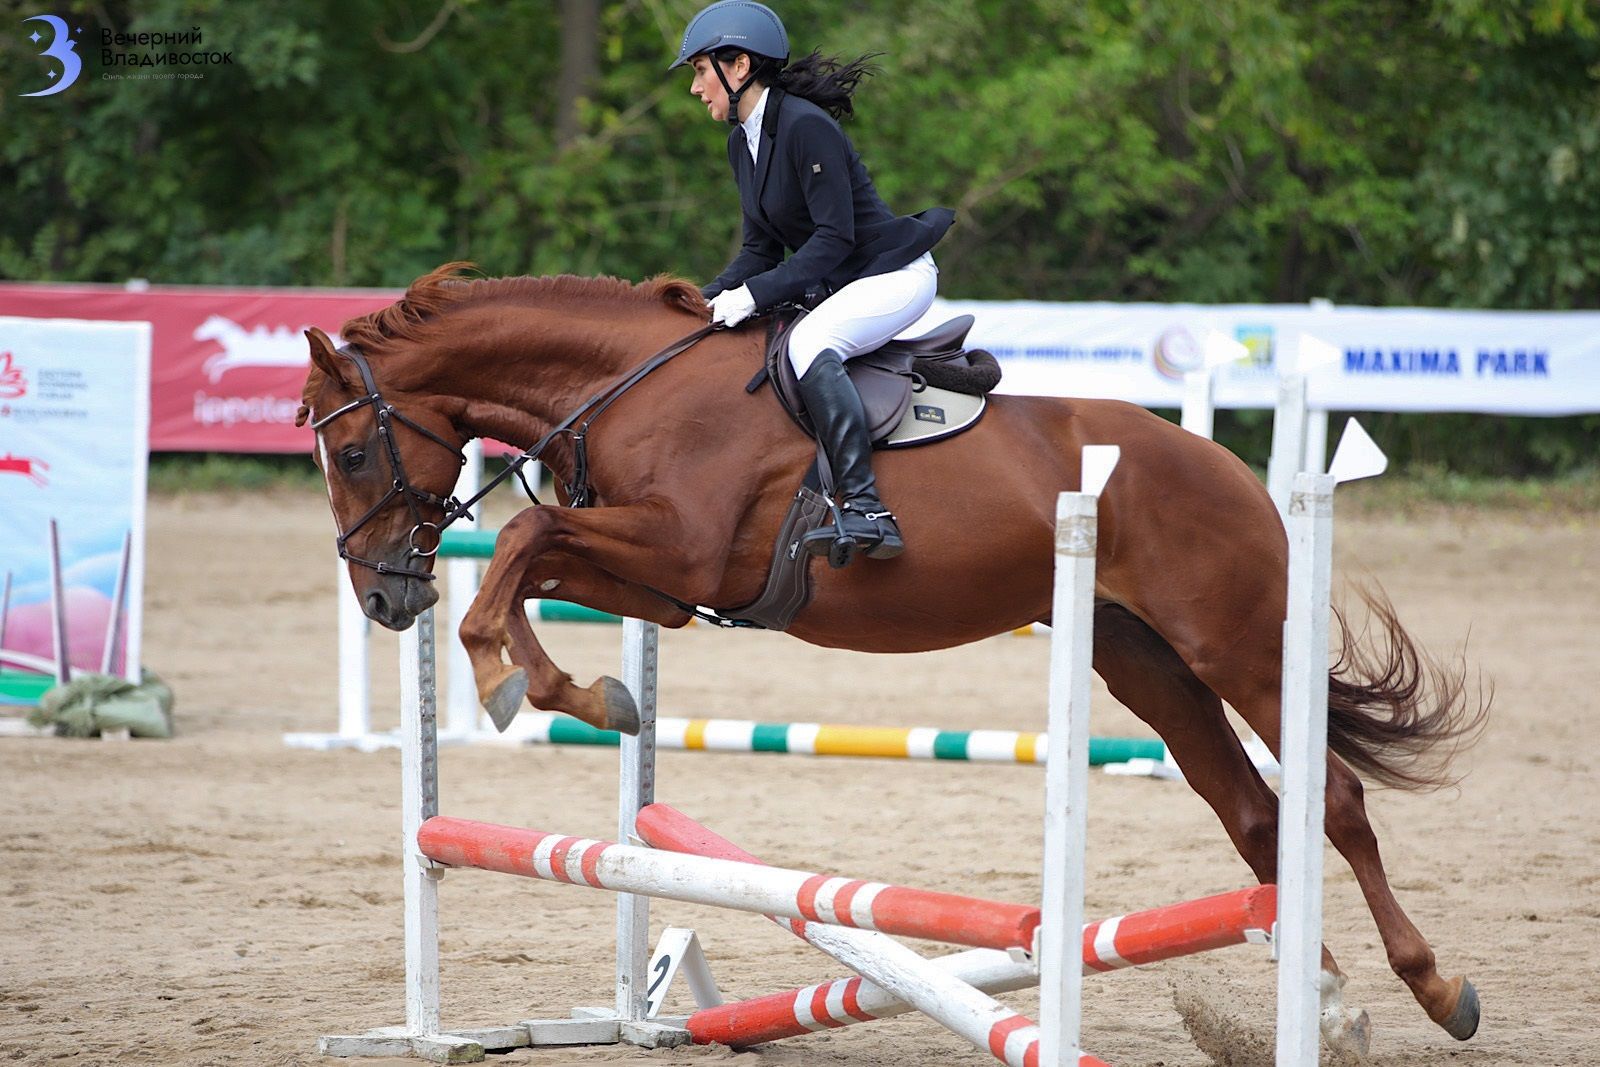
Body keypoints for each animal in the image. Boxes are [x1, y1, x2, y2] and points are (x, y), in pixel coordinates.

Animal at [300, 265, 1484, 1049]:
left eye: (352, 451)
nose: (385, 594)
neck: (632, 385)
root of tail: (1230, 466)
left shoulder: (676, 548)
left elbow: (520, 535)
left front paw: (516, 683)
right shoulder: (665, 586)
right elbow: (530, 555)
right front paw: (585, 690)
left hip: (1236, 643)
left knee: (1332, 799)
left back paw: (1434, 989)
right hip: (1144, 661)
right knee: (1253, 814)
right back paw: (1322, 996)